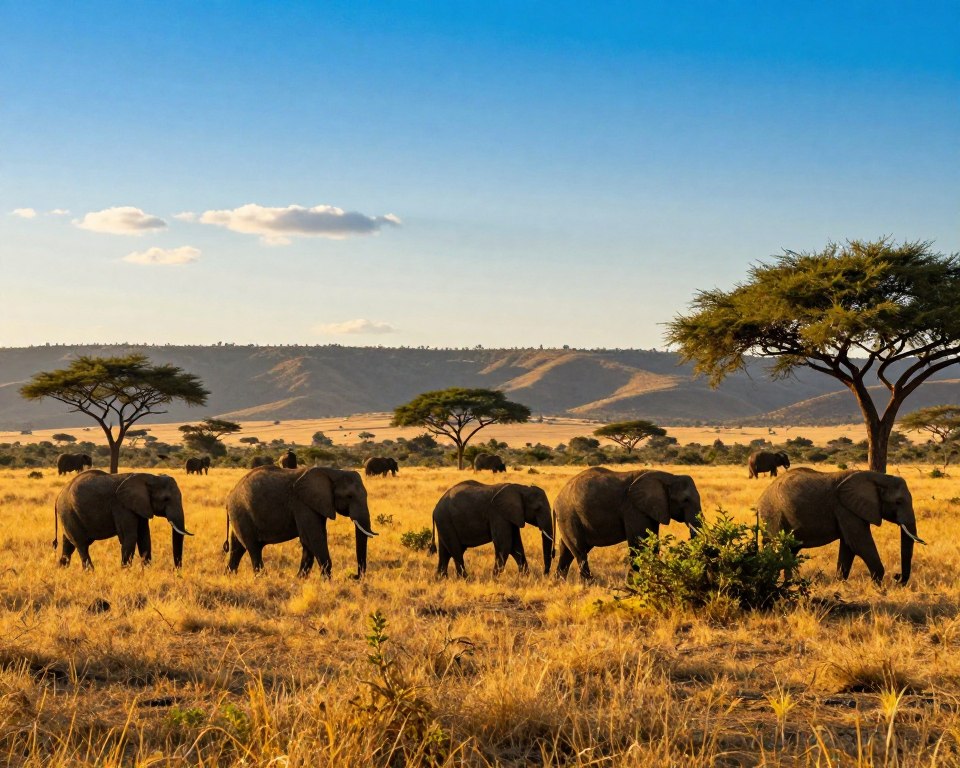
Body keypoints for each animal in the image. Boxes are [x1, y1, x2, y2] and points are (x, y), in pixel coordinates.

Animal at [54, 470, 191, 570]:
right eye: (166, 499)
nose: (176, 571)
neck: (149, 477)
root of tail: (59, 495)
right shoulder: (122, 506)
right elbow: (130, 537)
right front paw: (125, 572)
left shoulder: (140, 506)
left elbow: (144, 538)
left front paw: (146, 571)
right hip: (68, 513)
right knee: (81, 545)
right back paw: (90, 572)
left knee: (68, 546)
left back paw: (61, 570)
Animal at [225, 465, 377, 578]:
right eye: (349, 496)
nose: (353, 576)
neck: (332, 472)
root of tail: (230, 495)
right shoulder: (302, 504)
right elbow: (313, 537)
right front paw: (326, 582)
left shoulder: (316, 504)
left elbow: (311, 539)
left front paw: (299, 579)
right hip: (241, 513)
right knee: (253, 548)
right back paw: (262, 578)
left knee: (237, 548)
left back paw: (229, 576)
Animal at [554, 467, 702, 580]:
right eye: (685, 500)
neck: (669, 477)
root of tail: (557, 498)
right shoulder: (633, 508)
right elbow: (639, 544)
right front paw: (637, 582)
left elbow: (652, 544)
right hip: (568, 515)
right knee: (579, 550)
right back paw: (588, 584)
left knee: (566, 549)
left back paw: (559, 582)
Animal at [758, 468, 924, 585]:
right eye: (898, 502)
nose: (897, 577)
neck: (878, 477)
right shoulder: (845, 508)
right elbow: (859, 544)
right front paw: (878, 586)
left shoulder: (850, 509)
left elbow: (848, 546)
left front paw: (840, 584)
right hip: (773, 515)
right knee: (782, 547)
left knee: (790, 549)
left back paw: (788, 583)